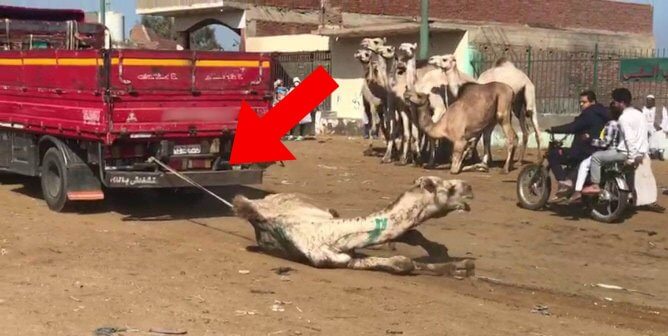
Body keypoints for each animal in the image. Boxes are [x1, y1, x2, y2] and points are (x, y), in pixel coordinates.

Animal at [234, 176, 474, 276]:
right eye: (450, 188)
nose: (470, 187)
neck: (330, 234)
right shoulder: (334, 260)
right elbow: (403, 263)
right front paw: (458, 267)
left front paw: (460, 265)